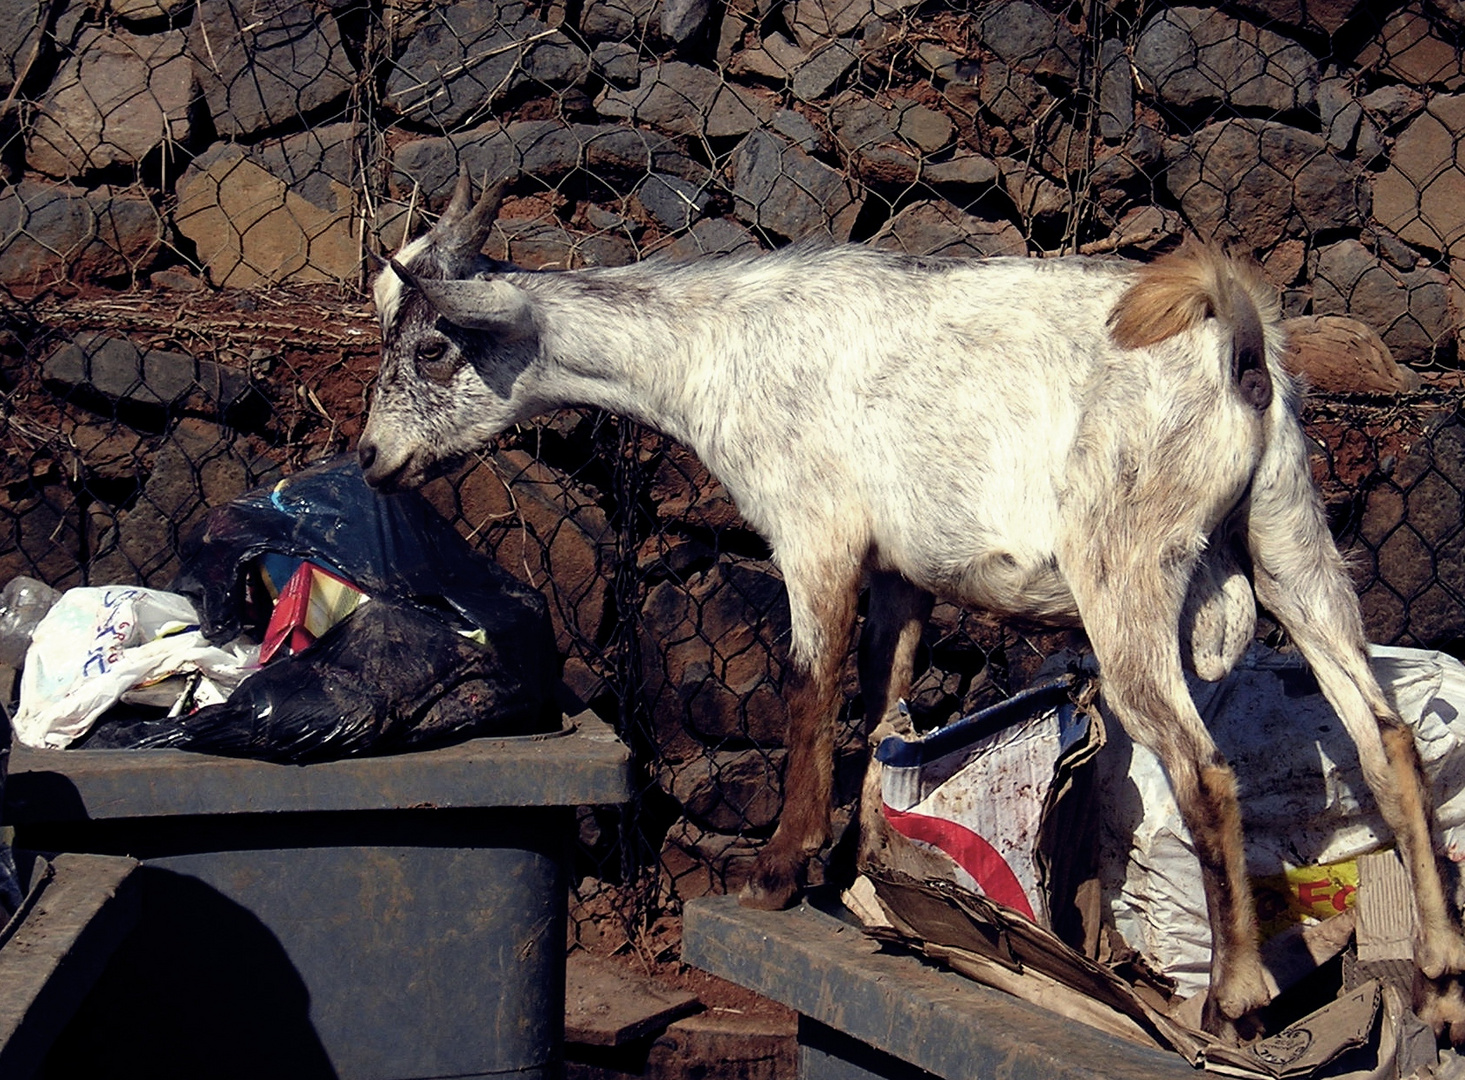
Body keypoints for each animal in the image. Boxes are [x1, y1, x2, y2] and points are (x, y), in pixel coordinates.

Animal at [357, 172, 1465, 1043]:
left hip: (1126, 563)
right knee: (1383, 739)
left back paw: (1232, 998)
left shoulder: (814, 530)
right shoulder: (900, 571)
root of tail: (1237, 340)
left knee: (1200, 765)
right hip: (1287, 534)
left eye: (434, 352)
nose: (370, 457)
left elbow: (810, 692)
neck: (711, 346)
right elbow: (884, 700)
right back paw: (1439, 981)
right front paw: (864, 876)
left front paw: (776, 871)